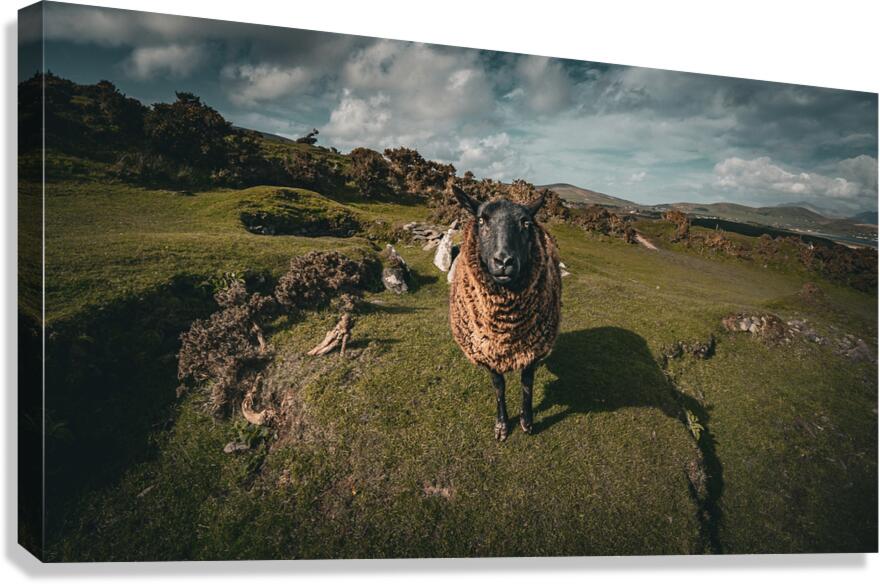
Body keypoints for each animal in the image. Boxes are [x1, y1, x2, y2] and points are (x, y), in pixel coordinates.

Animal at [448, 186, 562, 440]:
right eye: (481, 220)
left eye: (526, 223)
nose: (504, 261)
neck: (506, 325)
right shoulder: (486, 351)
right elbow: (499, 387)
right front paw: (502, 425)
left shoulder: (532, 350)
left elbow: (527, 384)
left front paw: (526, 421)